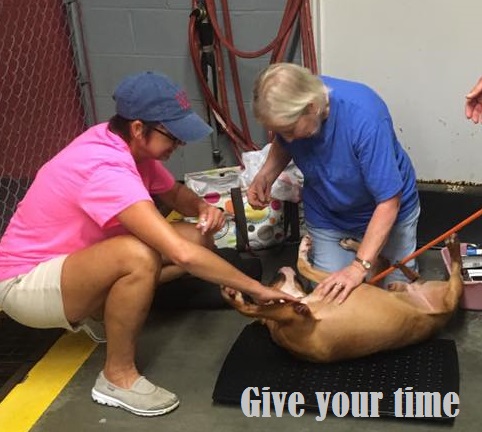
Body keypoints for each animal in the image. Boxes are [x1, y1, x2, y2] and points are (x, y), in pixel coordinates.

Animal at [221, 235, 464, 362]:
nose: (280, 270)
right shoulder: (298, 313)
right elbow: (256, 308)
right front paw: (237, 298)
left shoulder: (329, 286)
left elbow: (303, 267)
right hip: (448, 296)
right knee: (450, 269)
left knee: (385, 262)